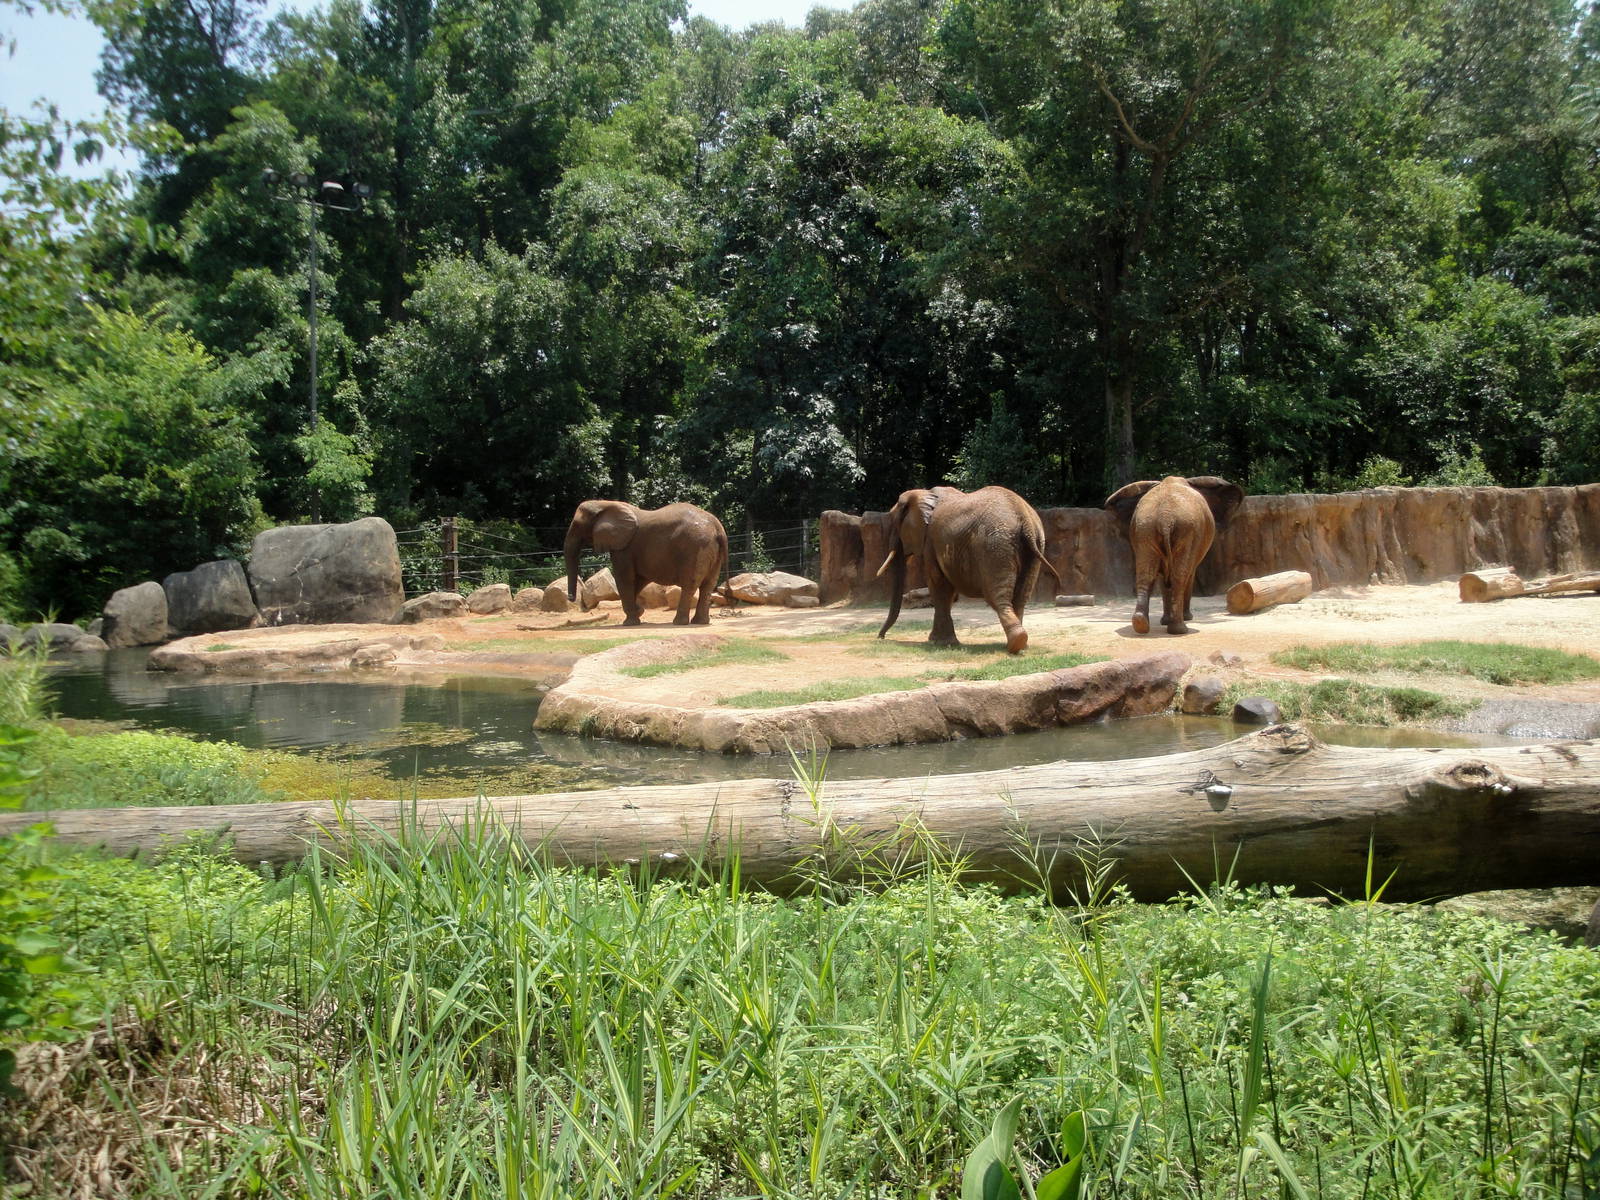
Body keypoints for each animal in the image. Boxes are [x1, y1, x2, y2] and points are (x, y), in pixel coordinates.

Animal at [564, 500, 728, 626]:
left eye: (577, 525)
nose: (570, 598)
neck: (605, 504)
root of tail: (718, 528)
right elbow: (638, 580)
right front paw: (639, 612)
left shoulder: (624, 548)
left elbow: (624, 579)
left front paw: (630, 623)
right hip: (710, 550)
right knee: (708, 585)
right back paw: (700, 622)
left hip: (694, 548)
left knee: (690, 585)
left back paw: (679, 623)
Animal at [876, 485, 1060, 655]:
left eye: (894, 525)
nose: (881, 637)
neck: (924, 493)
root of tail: (1024, 519)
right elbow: (947, 591)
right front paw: (938, 641)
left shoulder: (930, 542)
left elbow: (939, 585)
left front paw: (941, 643)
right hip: (1035, 544)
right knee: (1020, 597)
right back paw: (1020, 645)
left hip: (994, 546)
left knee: (996, 596)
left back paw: (1016, 644)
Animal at [1104, 475, 1245, 635]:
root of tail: (1165, 518)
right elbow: (1188, 574)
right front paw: (1186, 618)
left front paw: (1165, 621)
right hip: (1186, 530)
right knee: (1180, 576)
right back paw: (1179, 629)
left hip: (1144, 529)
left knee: (1146, 574)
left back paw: (1141, 624)